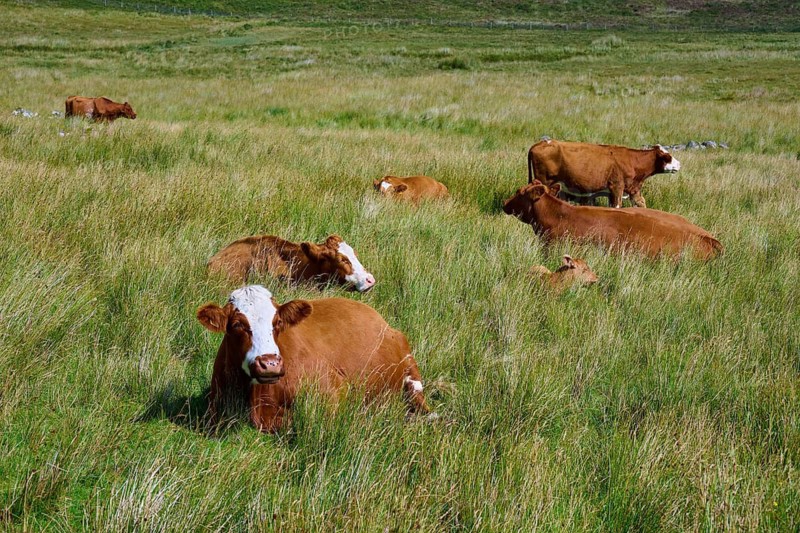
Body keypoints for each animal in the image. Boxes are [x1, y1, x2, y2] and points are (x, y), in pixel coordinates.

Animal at [527, 139, 681, 208]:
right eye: (667, 157)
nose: (679, 164)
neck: (631, 160)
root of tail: (541, 143)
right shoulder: (616, 187)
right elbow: (617, 206)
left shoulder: (633, 189)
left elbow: (641, 203)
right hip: (545, 181)